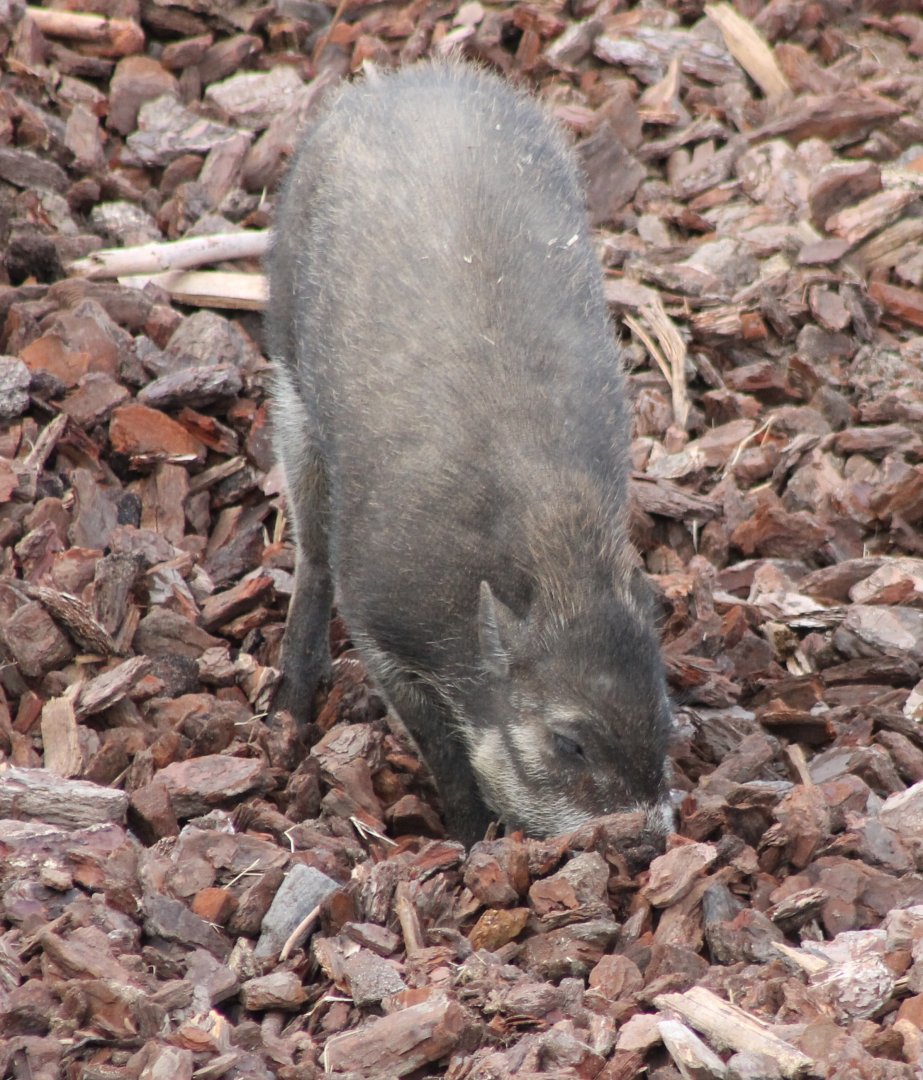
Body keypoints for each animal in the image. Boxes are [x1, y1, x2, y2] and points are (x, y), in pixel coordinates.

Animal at [266, 61, 673, 847]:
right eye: (570, 742)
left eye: (664, 713)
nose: (651, 835)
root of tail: (391, 81)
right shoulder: (382, 631)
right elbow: (442, 746)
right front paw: (469, 837)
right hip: (292, 394)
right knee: (311, 551)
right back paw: (290, 705)